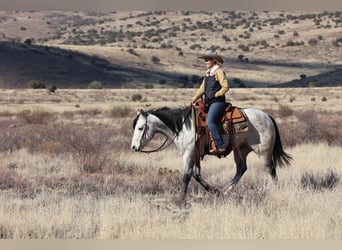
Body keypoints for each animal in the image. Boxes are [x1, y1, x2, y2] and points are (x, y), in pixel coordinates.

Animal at [131, 105, 292, 203]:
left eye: (140, 128)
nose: (133, 147)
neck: (183, 127)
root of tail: (267, 116)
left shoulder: (188, 154)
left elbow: (186, 176)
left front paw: (181, 199)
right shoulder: (195, 155)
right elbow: (196, 175)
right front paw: (214, 190)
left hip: (263, 152)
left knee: (271, 169)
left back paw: (275, 189)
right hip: (241, 150)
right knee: (241, 169)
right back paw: (225, 191)